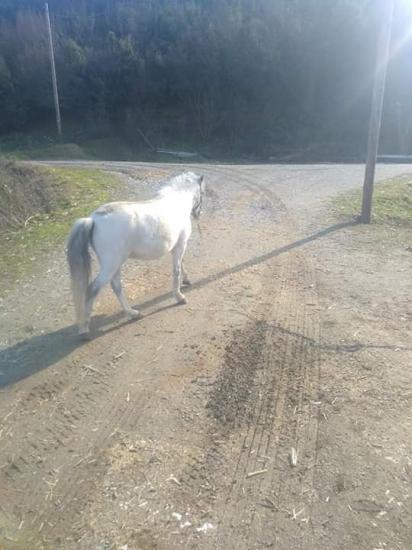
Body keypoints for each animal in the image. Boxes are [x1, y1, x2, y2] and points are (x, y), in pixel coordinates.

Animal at [65, 172, 204, 336]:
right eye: (202, 192)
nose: (198, 213)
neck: (176, 201)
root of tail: (93, 220)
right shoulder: (181, 245)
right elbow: (176, 270)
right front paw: (179, 297)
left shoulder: (177, 246)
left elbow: (181, 264)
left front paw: (186, 280)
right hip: (111, 265)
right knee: (93, 289)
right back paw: (84, 329)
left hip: (115, 264)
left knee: (116, 286)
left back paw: (132, 313)